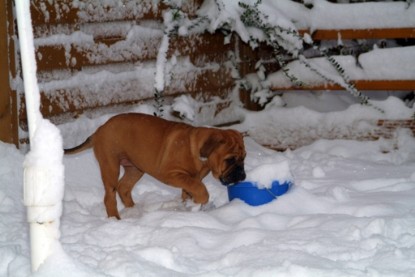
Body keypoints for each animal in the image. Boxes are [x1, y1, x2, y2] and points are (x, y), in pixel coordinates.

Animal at [65, 112, 247, 218]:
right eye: (230, 159)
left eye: (244, 158)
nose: (242, 175)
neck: (199, 152)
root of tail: (98, 131)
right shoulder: (171, 174)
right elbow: (199, 188)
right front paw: (199, 202)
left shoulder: (193, 178)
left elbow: (190, 190)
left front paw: (188, 206)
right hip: (110, 166)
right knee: (109, 196)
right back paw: (115, 219)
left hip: (135, 168)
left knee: (124, 187)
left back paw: (134, 211)